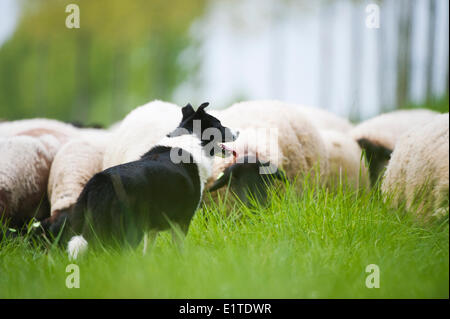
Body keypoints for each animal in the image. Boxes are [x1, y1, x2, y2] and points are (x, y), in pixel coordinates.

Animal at [65, 104, 239, 262]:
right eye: (219, 124)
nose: (238, 132)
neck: (191, 138)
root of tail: (100, 181)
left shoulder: (153, 228)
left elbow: (148, 250)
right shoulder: (182, 220)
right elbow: (179, 249)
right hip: (125, 230)